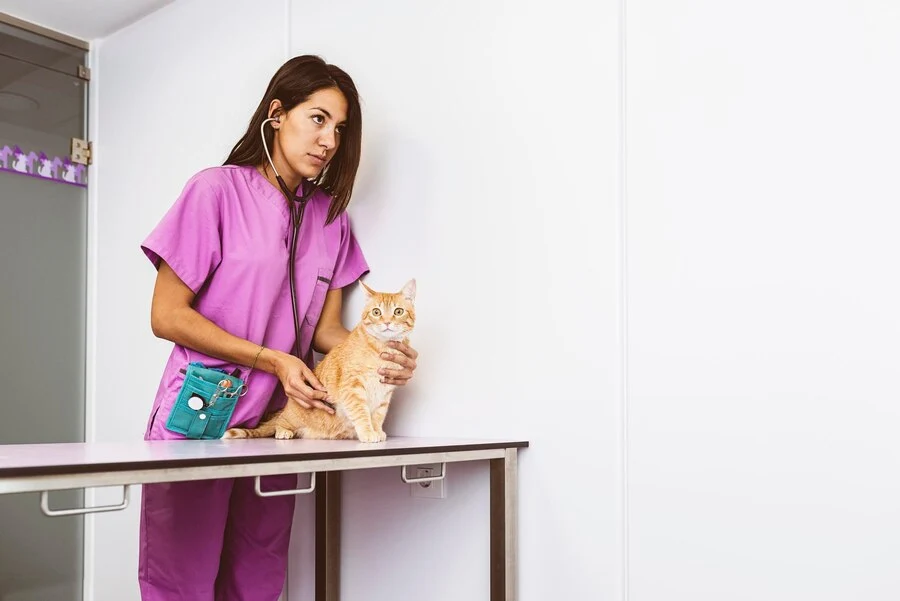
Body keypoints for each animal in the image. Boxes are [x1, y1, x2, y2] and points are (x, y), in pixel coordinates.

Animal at [225, 278, 414, 442]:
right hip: (292, 417)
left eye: (398, 311)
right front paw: (368, 432)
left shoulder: (385, 393)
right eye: (376, 312)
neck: (382, 348)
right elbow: (361, 413)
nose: (387, 322)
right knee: (280, 422)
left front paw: (377, 431)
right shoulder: (352, 388)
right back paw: (283, 431)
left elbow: (378, 416)